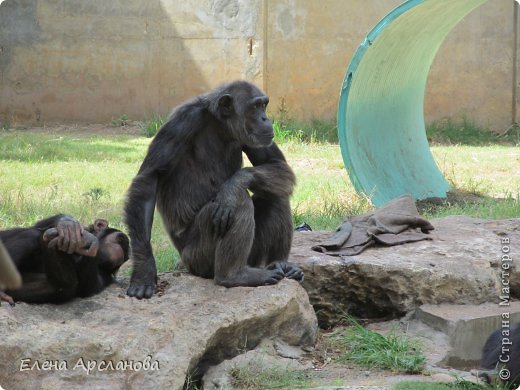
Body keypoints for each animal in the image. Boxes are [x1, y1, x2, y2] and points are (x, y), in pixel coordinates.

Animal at [0, 213, 129, 304]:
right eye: (120, 240)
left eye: (126, 257)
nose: (123, 253)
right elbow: (43, 225)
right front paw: (68, 224)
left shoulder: (105, 275)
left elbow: (88, 286)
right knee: (32, 234)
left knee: (65, 287)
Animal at [124, 80, 302, 298]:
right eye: (254, 107)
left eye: (264, 105)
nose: (265, 118)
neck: (220, 126)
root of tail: (184, 262)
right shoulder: (182, 122)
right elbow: (149, 179)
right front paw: (144, 271)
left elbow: (276, 163)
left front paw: (234, 183)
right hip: (198, 258)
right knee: (238, 203)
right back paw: (234, 275)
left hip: (251, 257)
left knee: (276, 195)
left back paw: (280, 264)